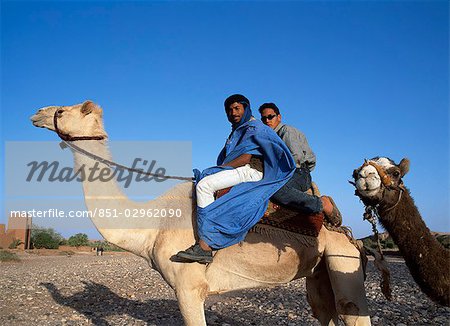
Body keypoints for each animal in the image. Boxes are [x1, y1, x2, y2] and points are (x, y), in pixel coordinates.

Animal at [29, 100, 370, 324]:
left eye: (63, 110)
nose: (37, 112)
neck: (153, 224)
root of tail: (349, 233)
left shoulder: (188, 287)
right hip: (317, 271)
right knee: (323, 309)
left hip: (343, 260)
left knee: (351, 307)